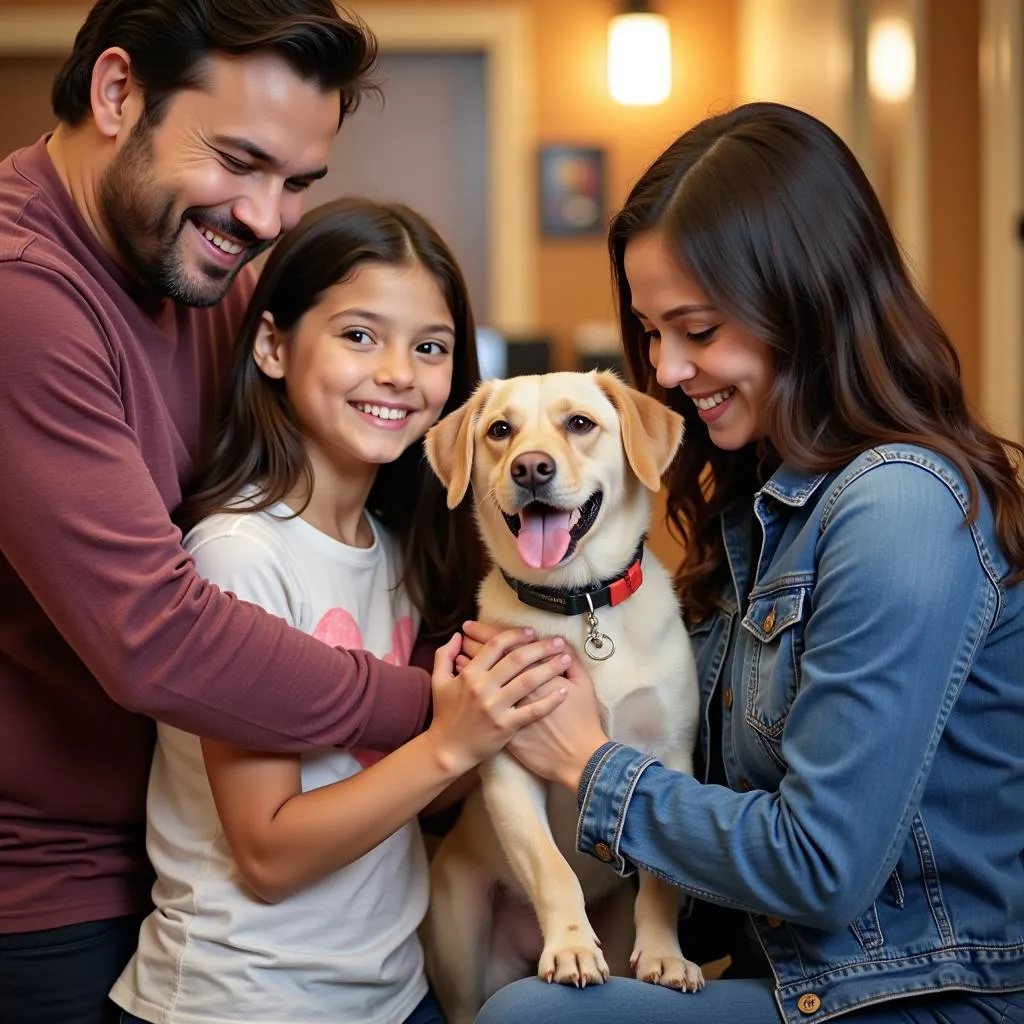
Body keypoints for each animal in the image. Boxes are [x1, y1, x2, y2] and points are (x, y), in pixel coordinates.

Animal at [421, 370, 704, 1024]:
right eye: (501, 430)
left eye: (579, 423)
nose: (531, 468)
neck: (580, 604)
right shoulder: (507, 769)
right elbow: (552, 869)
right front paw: (571, 947)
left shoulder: (670, 758)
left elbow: (662, 880)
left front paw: (665, 956)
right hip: (462, 933)